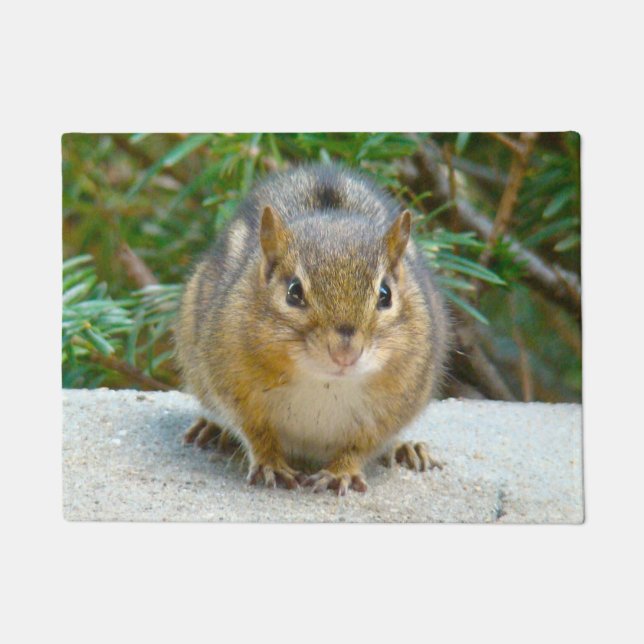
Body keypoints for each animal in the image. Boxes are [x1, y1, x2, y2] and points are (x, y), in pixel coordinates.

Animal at [175, 163, 451, 495]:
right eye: (294, 292)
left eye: (385, 294)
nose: (345, 353)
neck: (325, 383)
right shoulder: (234, 386)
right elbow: (256, 432)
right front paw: (271, 464)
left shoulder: (394, 405)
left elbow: (361, 445)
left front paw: (341, 472)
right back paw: (212, 429)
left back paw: (406, 449)